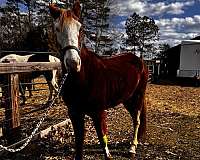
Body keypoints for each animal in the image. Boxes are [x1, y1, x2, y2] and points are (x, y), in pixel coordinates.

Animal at [49, 0, 148, 159]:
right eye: (57, 29)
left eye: (80, 28)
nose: (73, 63)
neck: (83, 78)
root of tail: (139, 60)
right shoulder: (74, 113)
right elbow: (79, 142)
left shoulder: (99, 112)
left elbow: (103, 140)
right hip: (127, 98)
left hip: (138, 96)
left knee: (137, 120)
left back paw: (133, 147)